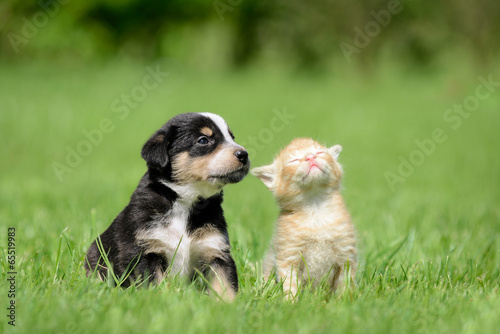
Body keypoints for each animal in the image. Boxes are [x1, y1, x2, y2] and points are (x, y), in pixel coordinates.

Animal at [86, 112, 252, 300]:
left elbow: (225, 285)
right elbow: (153, 284)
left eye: (232, 137)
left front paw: (230, 304)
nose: (244, 154)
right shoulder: (144, 251)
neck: (185, 203)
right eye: (203, 140)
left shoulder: (215, 250)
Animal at [254, 137, 356, 298]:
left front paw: (344, 302)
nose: (310, 157)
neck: (315, 209)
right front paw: (291, 302)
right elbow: (290, 286)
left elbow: (345, 286)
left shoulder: (346, 256)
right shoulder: (288, 258)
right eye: (293, 160)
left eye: (319, 153)